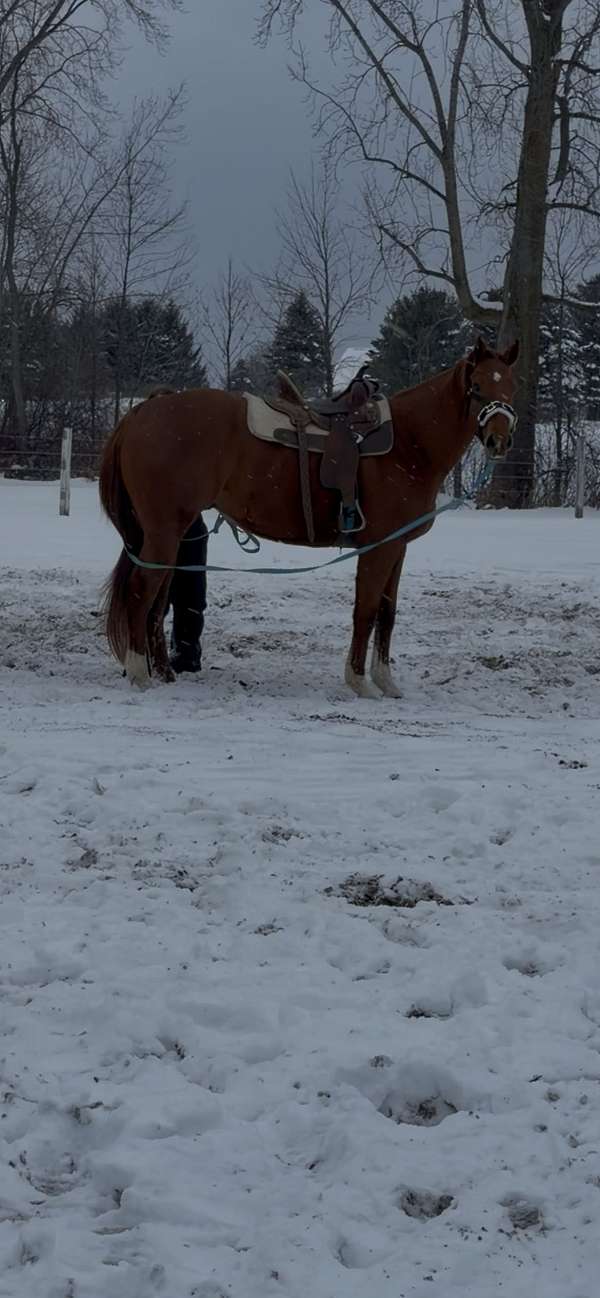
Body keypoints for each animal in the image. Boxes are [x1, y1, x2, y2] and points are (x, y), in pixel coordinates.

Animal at [99, 336, 518, 699]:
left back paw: (164, 672)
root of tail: (143, 411)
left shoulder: (396, 547)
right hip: (163, 531)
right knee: (142, 591)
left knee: (159, 597)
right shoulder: (377, 547)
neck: (409, 444)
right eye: (477, 386)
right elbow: (366, 610)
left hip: (170, 533)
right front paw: (359, 682)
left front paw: (386, 682)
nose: (499, 441)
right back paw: (139, 674)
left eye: (510, 386)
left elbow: (387, 612)